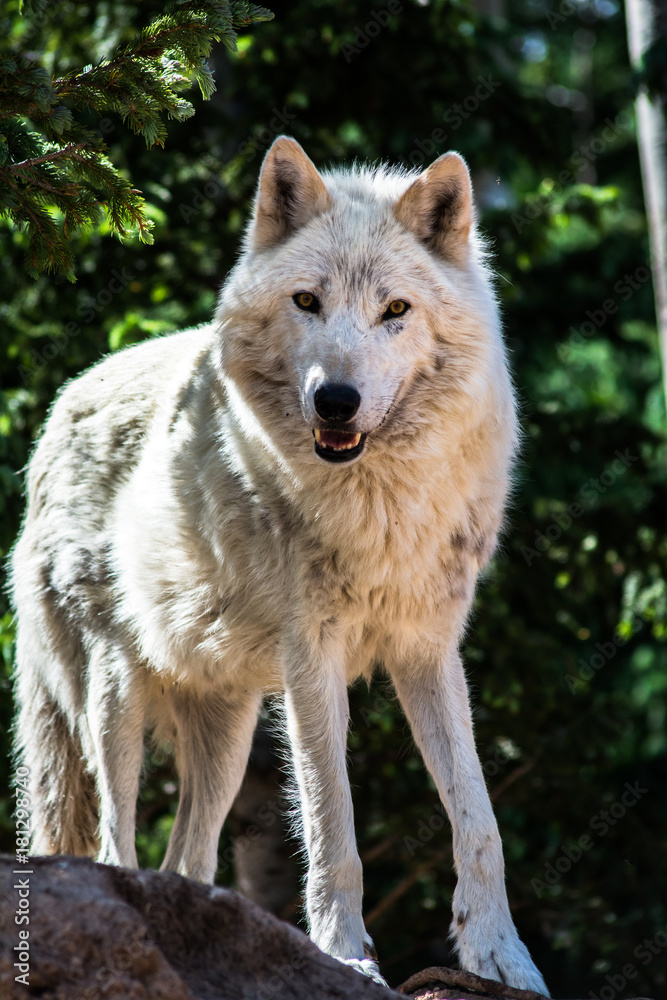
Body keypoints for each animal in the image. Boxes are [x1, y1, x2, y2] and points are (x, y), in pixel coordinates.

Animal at [11, 137, 548, 996]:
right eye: (306, 302)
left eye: (395, 311)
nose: (335, 400)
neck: (378, 503)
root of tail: (60, 406)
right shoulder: (310, 658)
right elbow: (333, 825)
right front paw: (346, 955)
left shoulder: (428, 651)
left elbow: (478, 819)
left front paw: (502, 959)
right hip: (110, 697)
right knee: (111, 846)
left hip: (226, 734)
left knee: (187, 858)